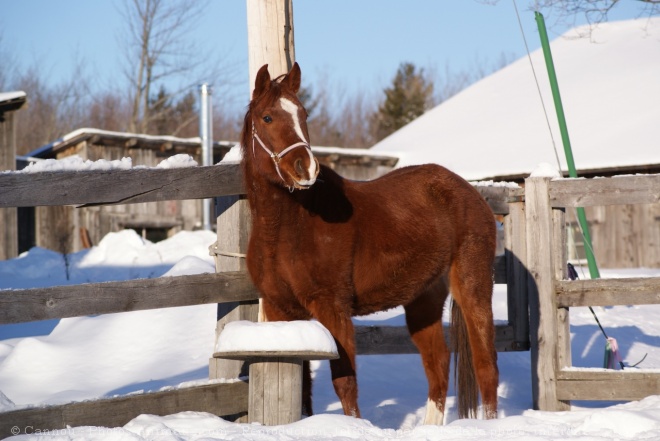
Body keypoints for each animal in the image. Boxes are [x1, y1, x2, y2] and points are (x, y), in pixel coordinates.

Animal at [241, 62, 496, 422]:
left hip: (473, 287)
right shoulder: (281, 311)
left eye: (303, 114)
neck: (287, 229)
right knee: (438, 364)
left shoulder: (333, 307)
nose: (306, 168)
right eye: (267, 117)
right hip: (424, 300)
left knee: (486, 365)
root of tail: (471, 192)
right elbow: (303, 389)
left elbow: (345, 384)